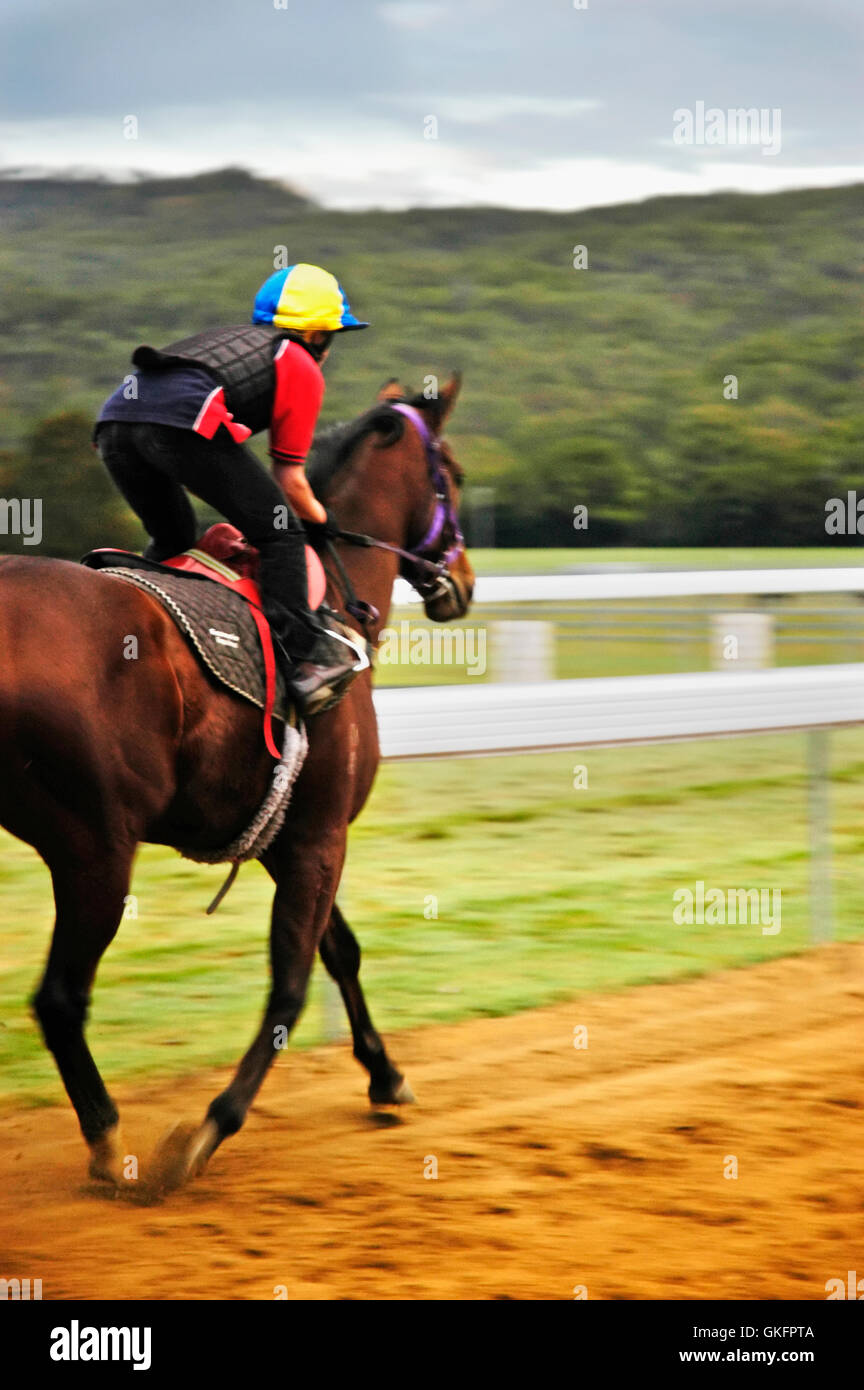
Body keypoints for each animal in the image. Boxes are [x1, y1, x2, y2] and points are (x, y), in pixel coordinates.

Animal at [0, 375, 475, 1189]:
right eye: (458, 474)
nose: (465, 581)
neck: (331, 604)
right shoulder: (319, 836)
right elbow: (290, 983)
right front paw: (209, 1127)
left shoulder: (290, 834)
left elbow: (338, 951)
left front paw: (385, 1075)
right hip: (97, 852)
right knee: (60, 999)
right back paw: (109, 1141)